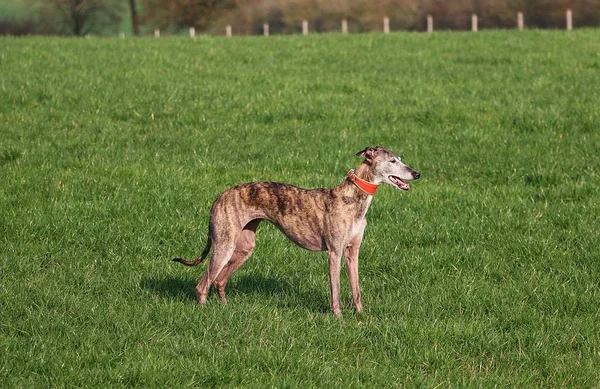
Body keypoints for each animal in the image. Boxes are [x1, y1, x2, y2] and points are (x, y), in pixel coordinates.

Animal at [171, 146, 420, 316]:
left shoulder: (353, 252)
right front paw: (338, 316)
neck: (353, 197)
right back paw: (205, 312)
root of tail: (219, 197)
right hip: (224, 244)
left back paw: (225, 309)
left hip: (243, 247)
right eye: (392, 160)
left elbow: (356, 287)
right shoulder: (334, 252)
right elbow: (336, 289)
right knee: (202, 285)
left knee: (219, 281)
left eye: (401, 159)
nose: (416, 174)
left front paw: (361, 314)